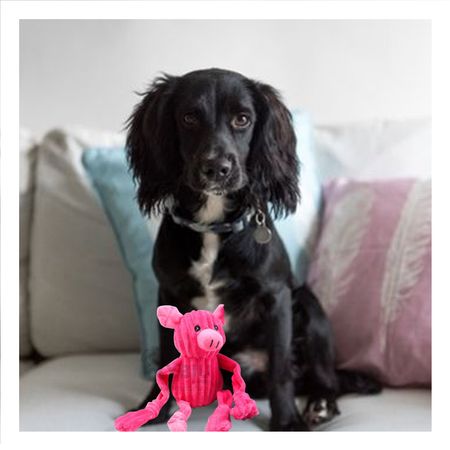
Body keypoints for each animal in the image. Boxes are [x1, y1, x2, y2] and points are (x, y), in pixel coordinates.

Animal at [125, 68, 380, 430]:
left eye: (242, 119)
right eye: (189, 117)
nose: (217, 168)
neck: (213, 226)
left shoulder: (277, 295)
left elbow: (280, 369)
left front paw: (287, 422)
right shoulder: (168, 293)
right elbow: (165, 360)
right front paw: (155, 411)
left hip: (309, 307)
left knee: (324, 378)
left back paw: (320, 403)